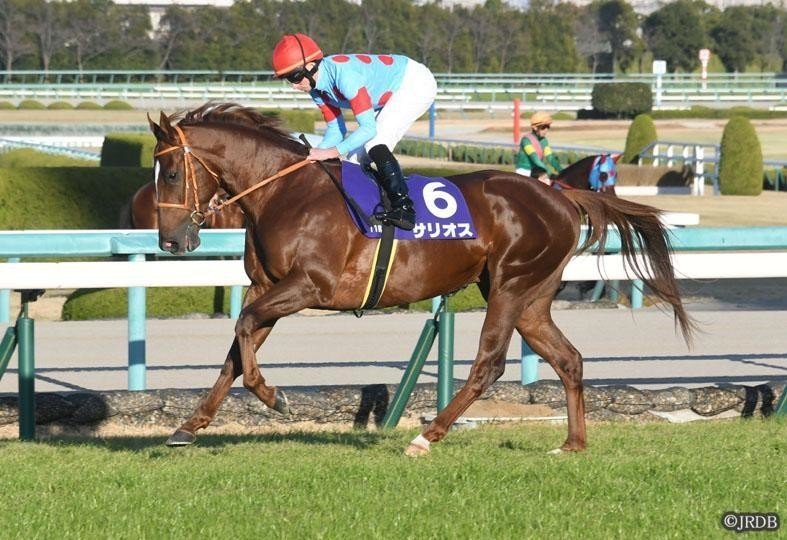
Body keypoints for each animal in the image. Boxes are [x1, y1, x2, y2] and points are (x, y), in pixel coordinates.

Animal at [149, 103, 693, 455]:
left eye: (171, 173)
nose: (171, 242)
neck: (285, 192)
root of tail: (559, 197)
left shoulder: (308, 286)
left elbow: (242, 332)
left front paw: (274, 397)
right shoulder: (268, 287)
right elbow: (234, 353)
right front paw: (188, 427)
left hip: (512, 285)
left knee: (489, 365)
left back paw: (425, 437)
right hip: (530, 296)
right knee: (568, 359)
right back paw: (573, 444)